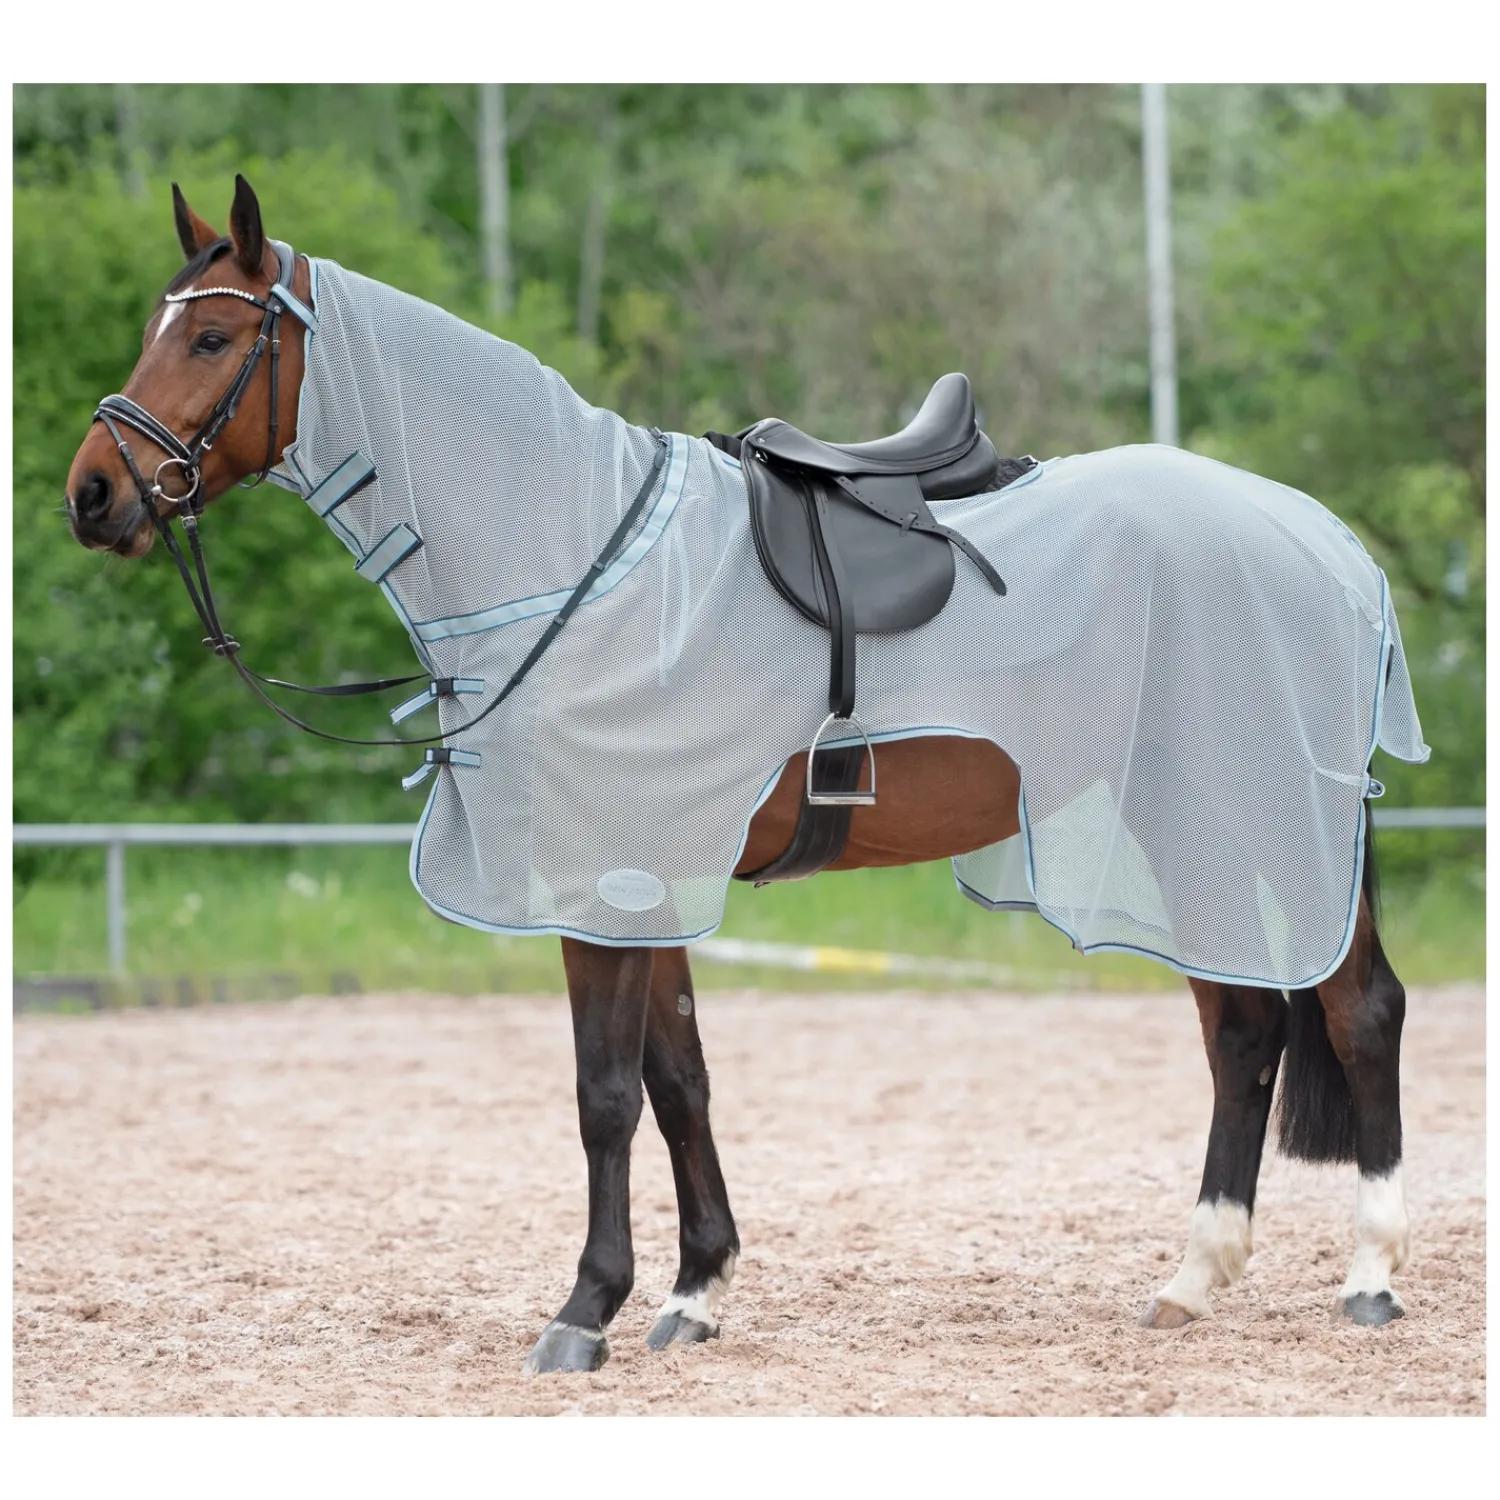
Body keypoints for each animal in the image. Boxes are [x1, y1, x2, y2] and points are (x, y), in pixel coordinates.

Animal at [64, 175, 1422, 1376]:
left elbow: (605, 1093)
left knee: (1356, 1013)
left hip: (1253, 823)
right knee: (1243, 1030)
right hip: (1184, 831)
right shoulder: (650, 883)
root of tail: (1329, 544)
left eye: (214, 334)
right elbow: (681, 1082)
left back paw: (1370, 1276)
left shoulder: (605, 886)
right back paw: (1193, 1280)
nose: (92, 493)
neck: (576, 558)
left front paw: (585, 1311)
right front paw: (695, 1292)